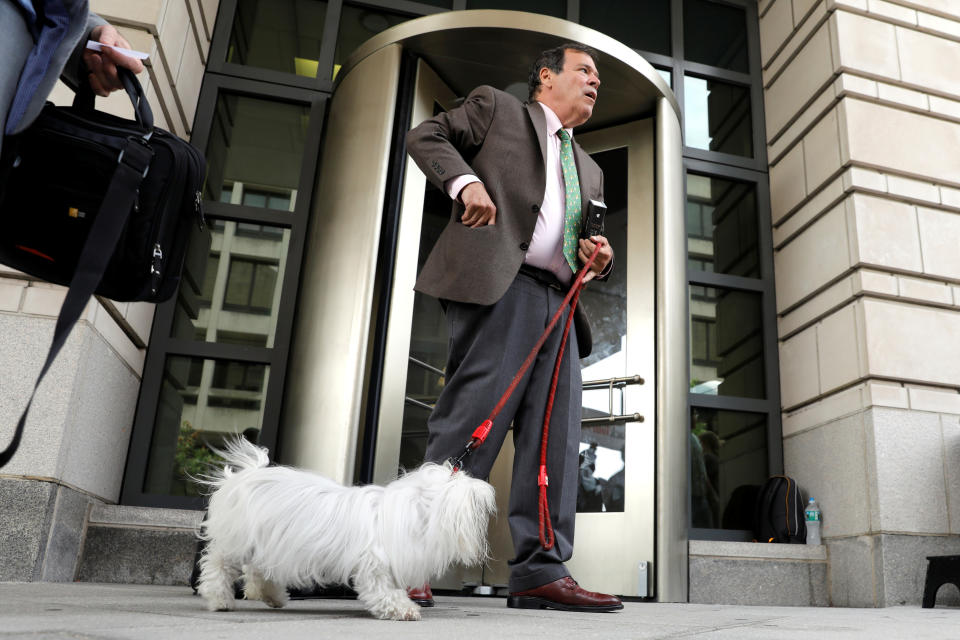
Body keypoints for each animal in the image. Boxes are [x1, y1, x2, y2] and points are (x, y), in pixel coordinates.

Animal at [194, 440, 496, 620]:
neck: (417, 509)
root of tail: (246, 476)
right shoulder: (376, 563)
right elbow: (382, 589)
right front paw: (402, 608)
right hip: (239, 540)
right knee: (219, 565)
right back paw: (220, 599)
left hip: (268, 542)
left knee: (258, 570)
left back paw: (273, 596)